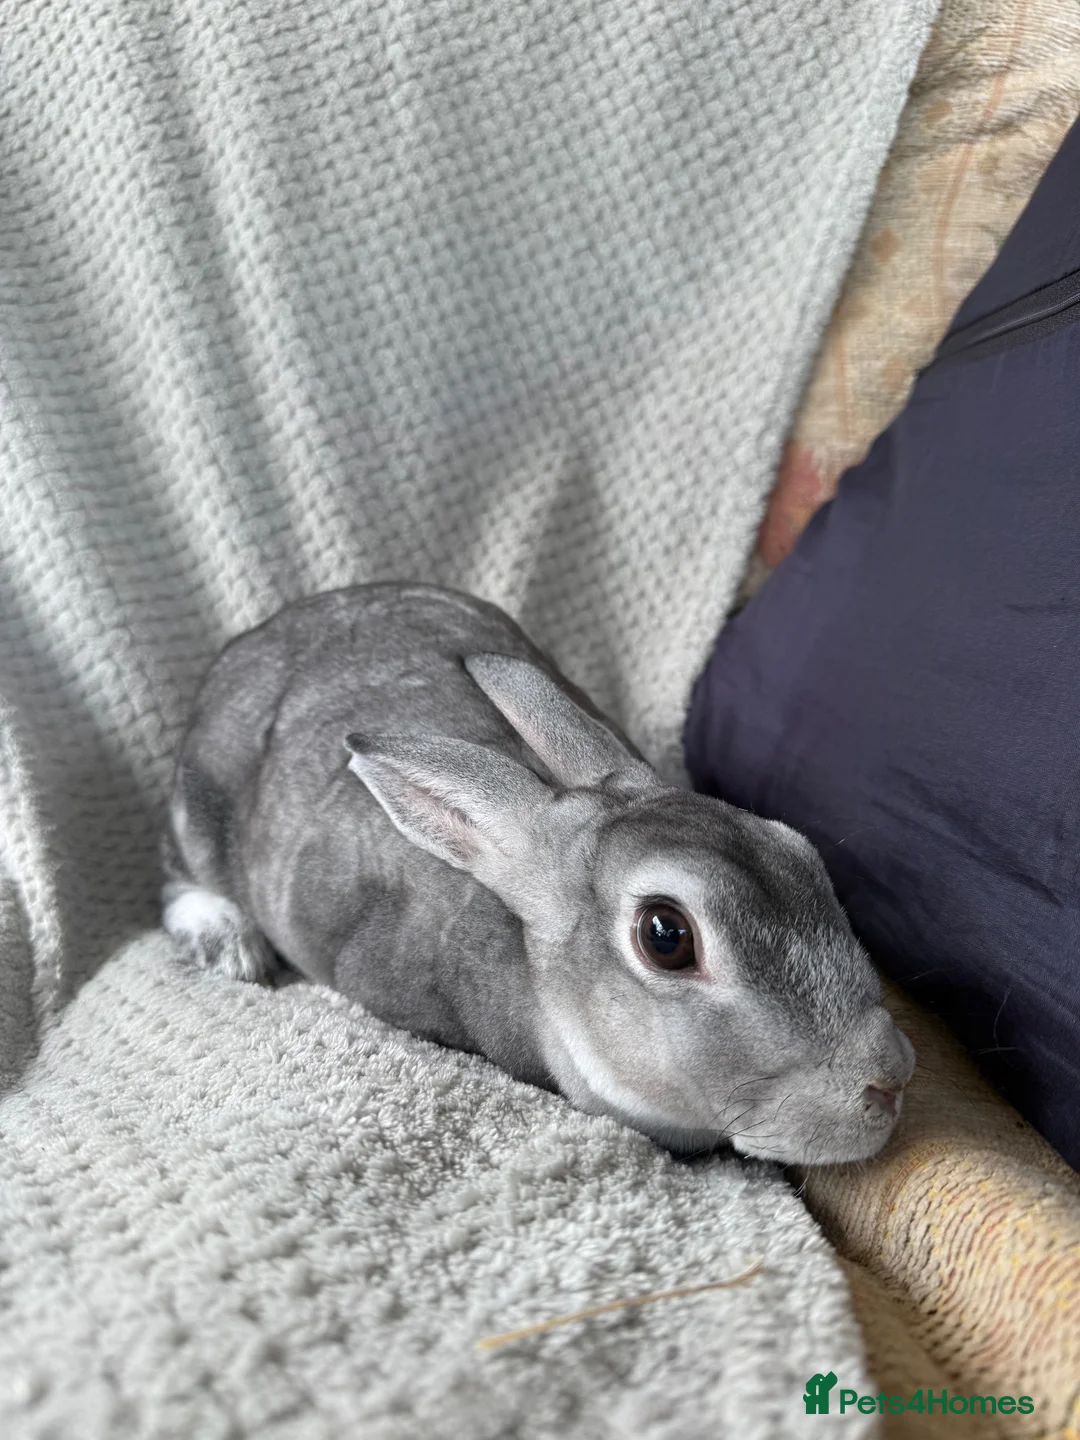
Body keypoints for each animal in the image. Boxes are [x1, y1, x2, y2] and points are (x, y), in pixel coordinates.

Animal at [163, 582, 915, 1165]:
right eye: (666, 936)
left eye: (798, 854)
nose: (890, 1079)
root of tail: (251, 640)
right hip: (199, 809)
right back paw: (226, 943)